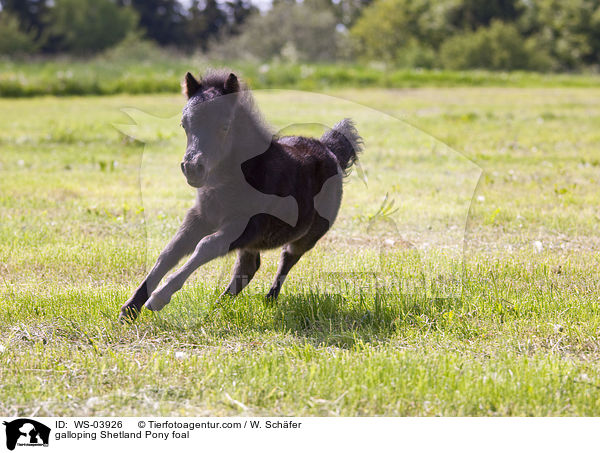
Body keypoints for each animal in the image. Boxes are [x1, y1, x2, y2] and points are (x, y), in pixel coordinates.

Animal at [118, 69, 360, 320]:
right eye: (184, 124)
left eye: (224, 126)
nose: (192, 168)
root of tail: (329, 148)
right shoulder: (200, 217)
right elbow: (169, 253)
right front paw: (131, 307)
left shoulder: (246, 225)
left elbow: (206, 245)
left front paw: (159, 297)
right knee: (248, 267)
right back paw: (218, 307)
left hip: (307, 235)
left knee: (287, 257)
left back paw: (269, 298)